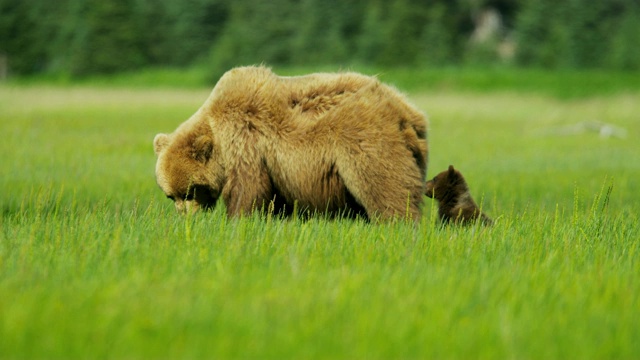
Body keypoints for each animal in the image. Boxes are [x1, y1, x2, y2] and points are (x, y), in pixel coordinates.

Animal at [152, 65, 428, 221]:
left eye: (190, 191)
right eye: (170, 196)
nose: (186, 218)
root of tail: (409, 113)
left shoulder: (245, 136)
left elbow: (247, 187)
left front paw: (236, 219)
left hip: (368, 142)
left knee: (386, 188)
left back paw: (397, 224)